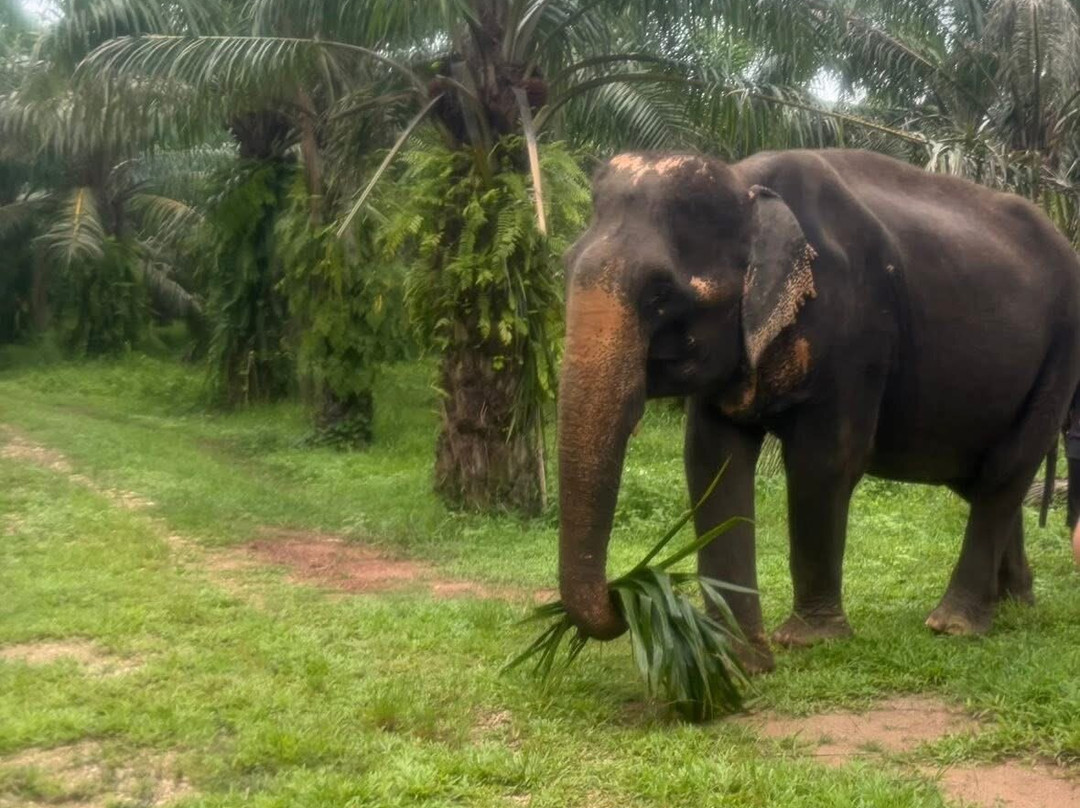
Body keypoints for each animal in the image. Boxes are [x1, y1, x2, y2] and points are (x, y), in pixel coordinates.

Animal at [556, 149, 1080, 673]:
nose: (621, 595)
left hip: (1061, 352)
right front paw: (737, 658)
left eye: (661, 294)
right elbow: (711, 462)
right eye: (564, 266)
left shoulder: (855, 333)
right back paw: (1013, 603)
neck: (745, 185)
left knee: (1006, 471)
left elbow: (824, 462)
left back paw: (952, 625)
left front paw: (807, 641)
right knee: (981, 477)